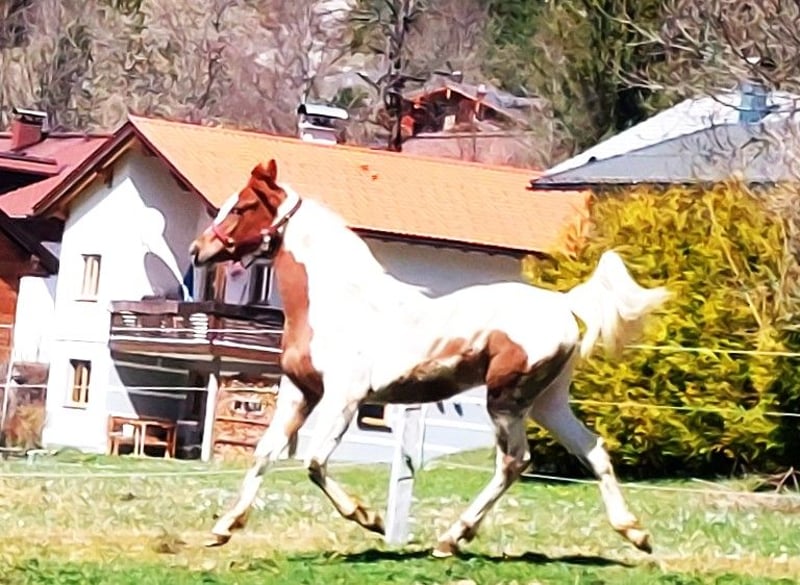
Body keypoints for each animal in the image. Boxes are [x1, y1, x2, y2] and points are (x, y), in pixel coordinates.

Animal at [189, 159, 669, 557]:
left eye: (242, 206)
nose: (198, 251)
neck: (337, 301)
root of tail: (563, 305)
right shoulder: (299, 391)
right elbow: (265, 452)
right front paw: (224, 528)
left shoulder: (345, 396)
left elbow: (314, 462)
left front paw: (370, 519)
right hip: (547, 403)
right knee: (593, 450)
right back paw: (635, 533)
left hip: (506, 400)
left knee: (514, 462)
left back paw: (451, 538)